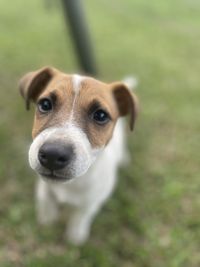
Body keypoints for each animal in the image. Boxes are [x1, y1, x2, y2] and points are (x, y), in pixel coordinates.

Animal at [18, 67, 138, 247]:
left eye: (101, 115)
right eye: (45, 104)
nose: (53, 154)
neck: (72, 185)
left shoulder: (93, 201)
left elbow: (80, 216)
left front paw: (75, 237)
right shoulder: (44, 189)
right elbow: (46, 203)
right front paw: (46, 222)